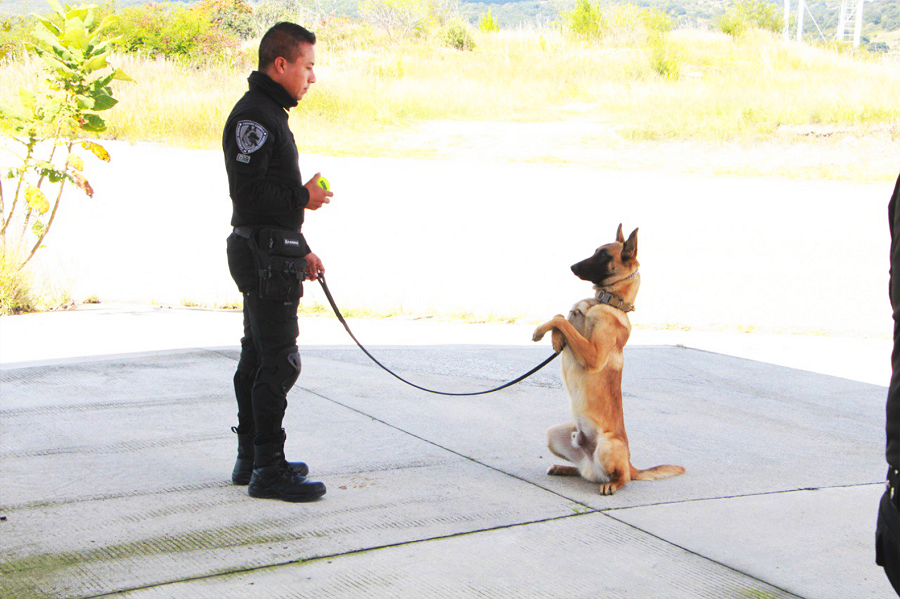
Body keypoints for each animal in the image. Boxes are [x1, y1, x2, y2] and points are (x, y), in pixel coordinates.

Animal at [532, 225, 684, 496]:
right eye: (596, 251)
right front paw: (555, 339)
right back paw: (564, 468)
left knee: (623, 478)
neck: (607, 303)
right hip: (554, 434)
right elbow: (561, 316)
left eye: (603, 255)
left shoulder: (592, 355)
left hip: (607, 445)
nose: (571, 266)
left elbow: (561, 320)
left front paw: (543, 332)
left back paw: (612, 484)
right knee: (583, 472)